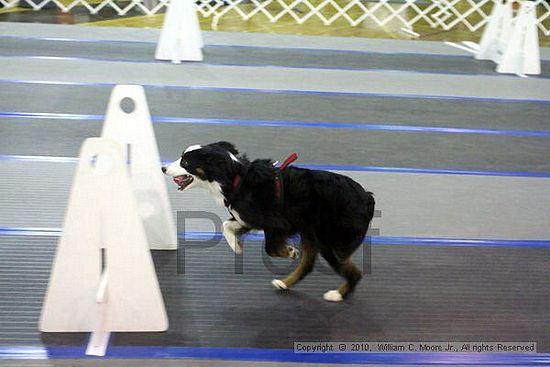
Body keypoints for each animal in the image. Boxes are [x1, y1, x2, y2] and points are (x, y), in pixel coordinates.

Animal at [163, 141, 376, 302]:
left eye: (185, 161)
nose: (163, 167)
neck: (236, 179)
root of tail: (367, 198)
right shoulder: (246, 218)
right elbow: (226, 225)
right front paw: (236, 246)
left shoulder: (279, 223)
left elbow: (270, 248)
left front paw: (289, 251)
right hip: (312, 234)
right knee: (307, 265)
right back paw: (284, 283)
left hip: (329, 242)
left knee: (353, 272)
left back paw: (337, 295)